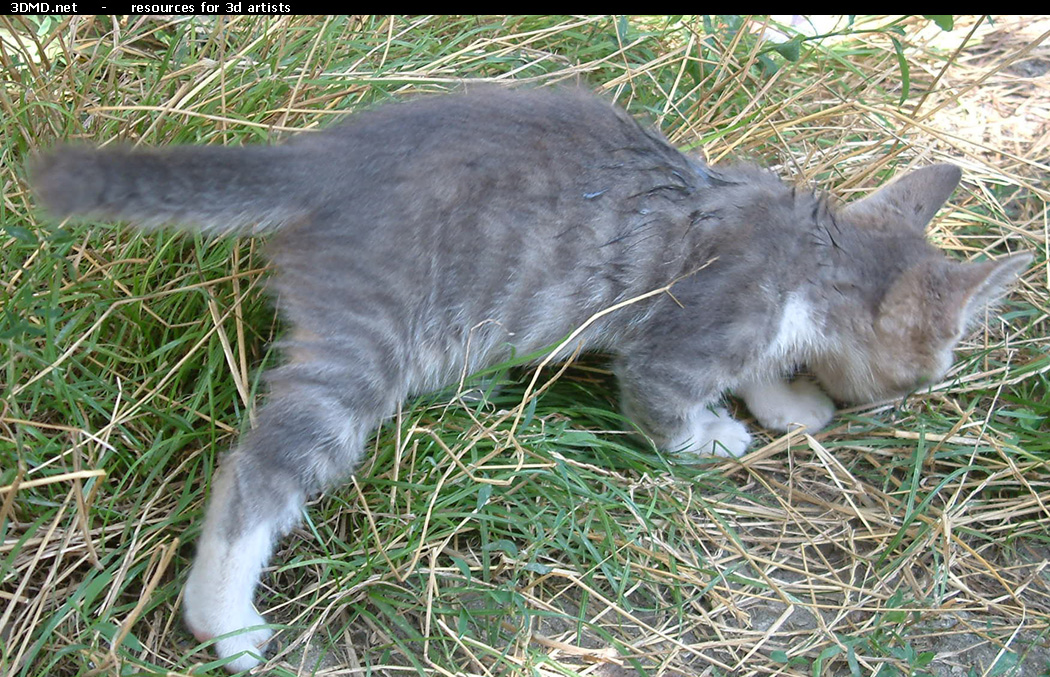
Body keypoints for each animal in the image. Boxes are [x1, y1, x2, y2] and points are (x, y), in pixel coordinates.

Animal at [30, 87, 1024, 667]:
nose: (916, 398)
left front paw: (787, 397)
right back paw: (223, 618)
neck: (812, 255)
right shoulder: (691, 329)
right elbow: (664, 402)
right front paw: (715, 432)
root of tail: (327, 157)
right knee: (258, 469)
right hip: (371, 338)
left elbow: (767, 373)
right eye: (926, 374)